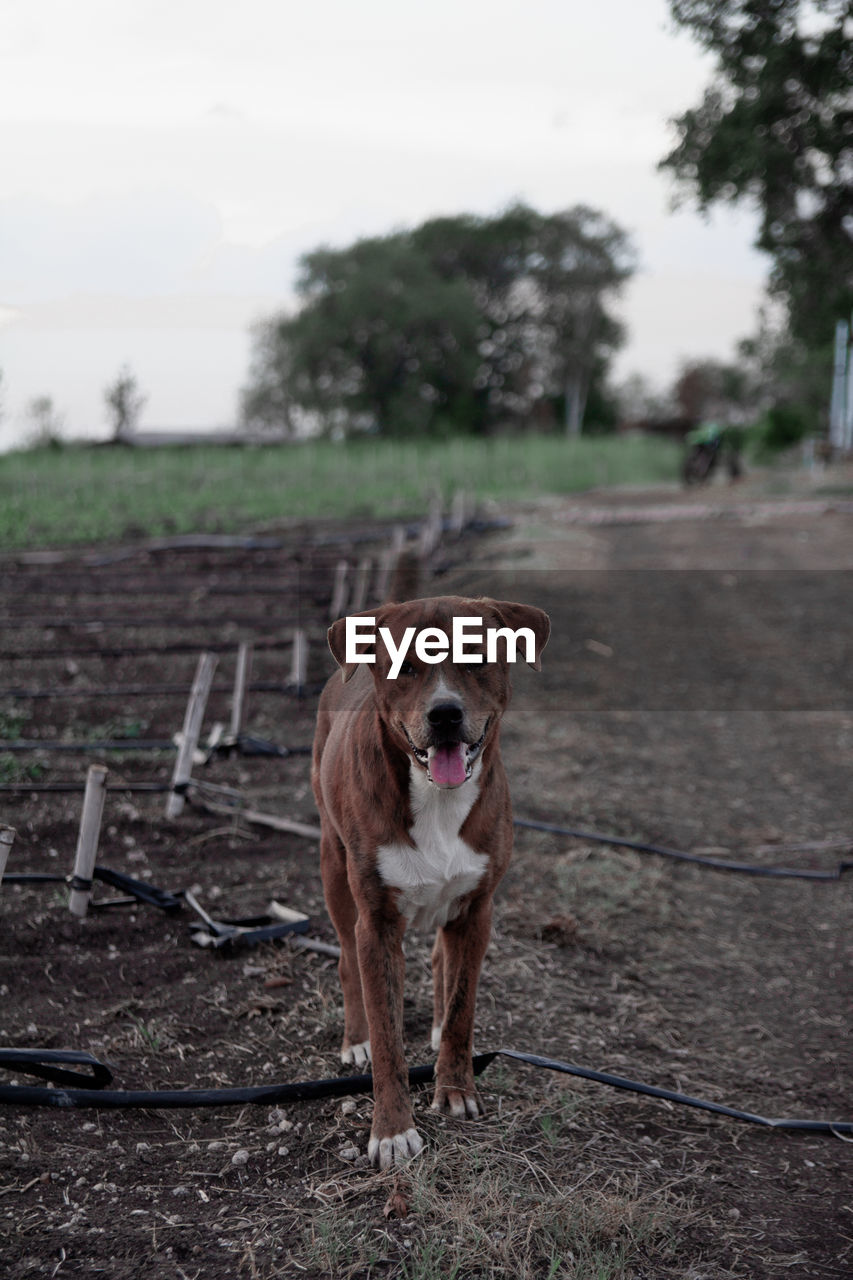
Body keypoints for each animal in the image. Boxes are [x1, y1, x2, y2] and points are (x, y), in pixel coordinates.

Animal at [311, 593, 545, 1167]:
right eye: (406, 667)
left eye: (476, 656)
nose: (445, 714)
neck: (437, 799)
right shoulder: (376, 922)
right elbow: (388, 1038)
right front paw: (393, 1131)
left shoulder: (478, 908)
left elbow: (463, 1006)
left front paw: (455, 1088)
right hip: (332, 864)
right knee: (346, 960)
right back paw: (354, 1038)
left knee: (443, 959)